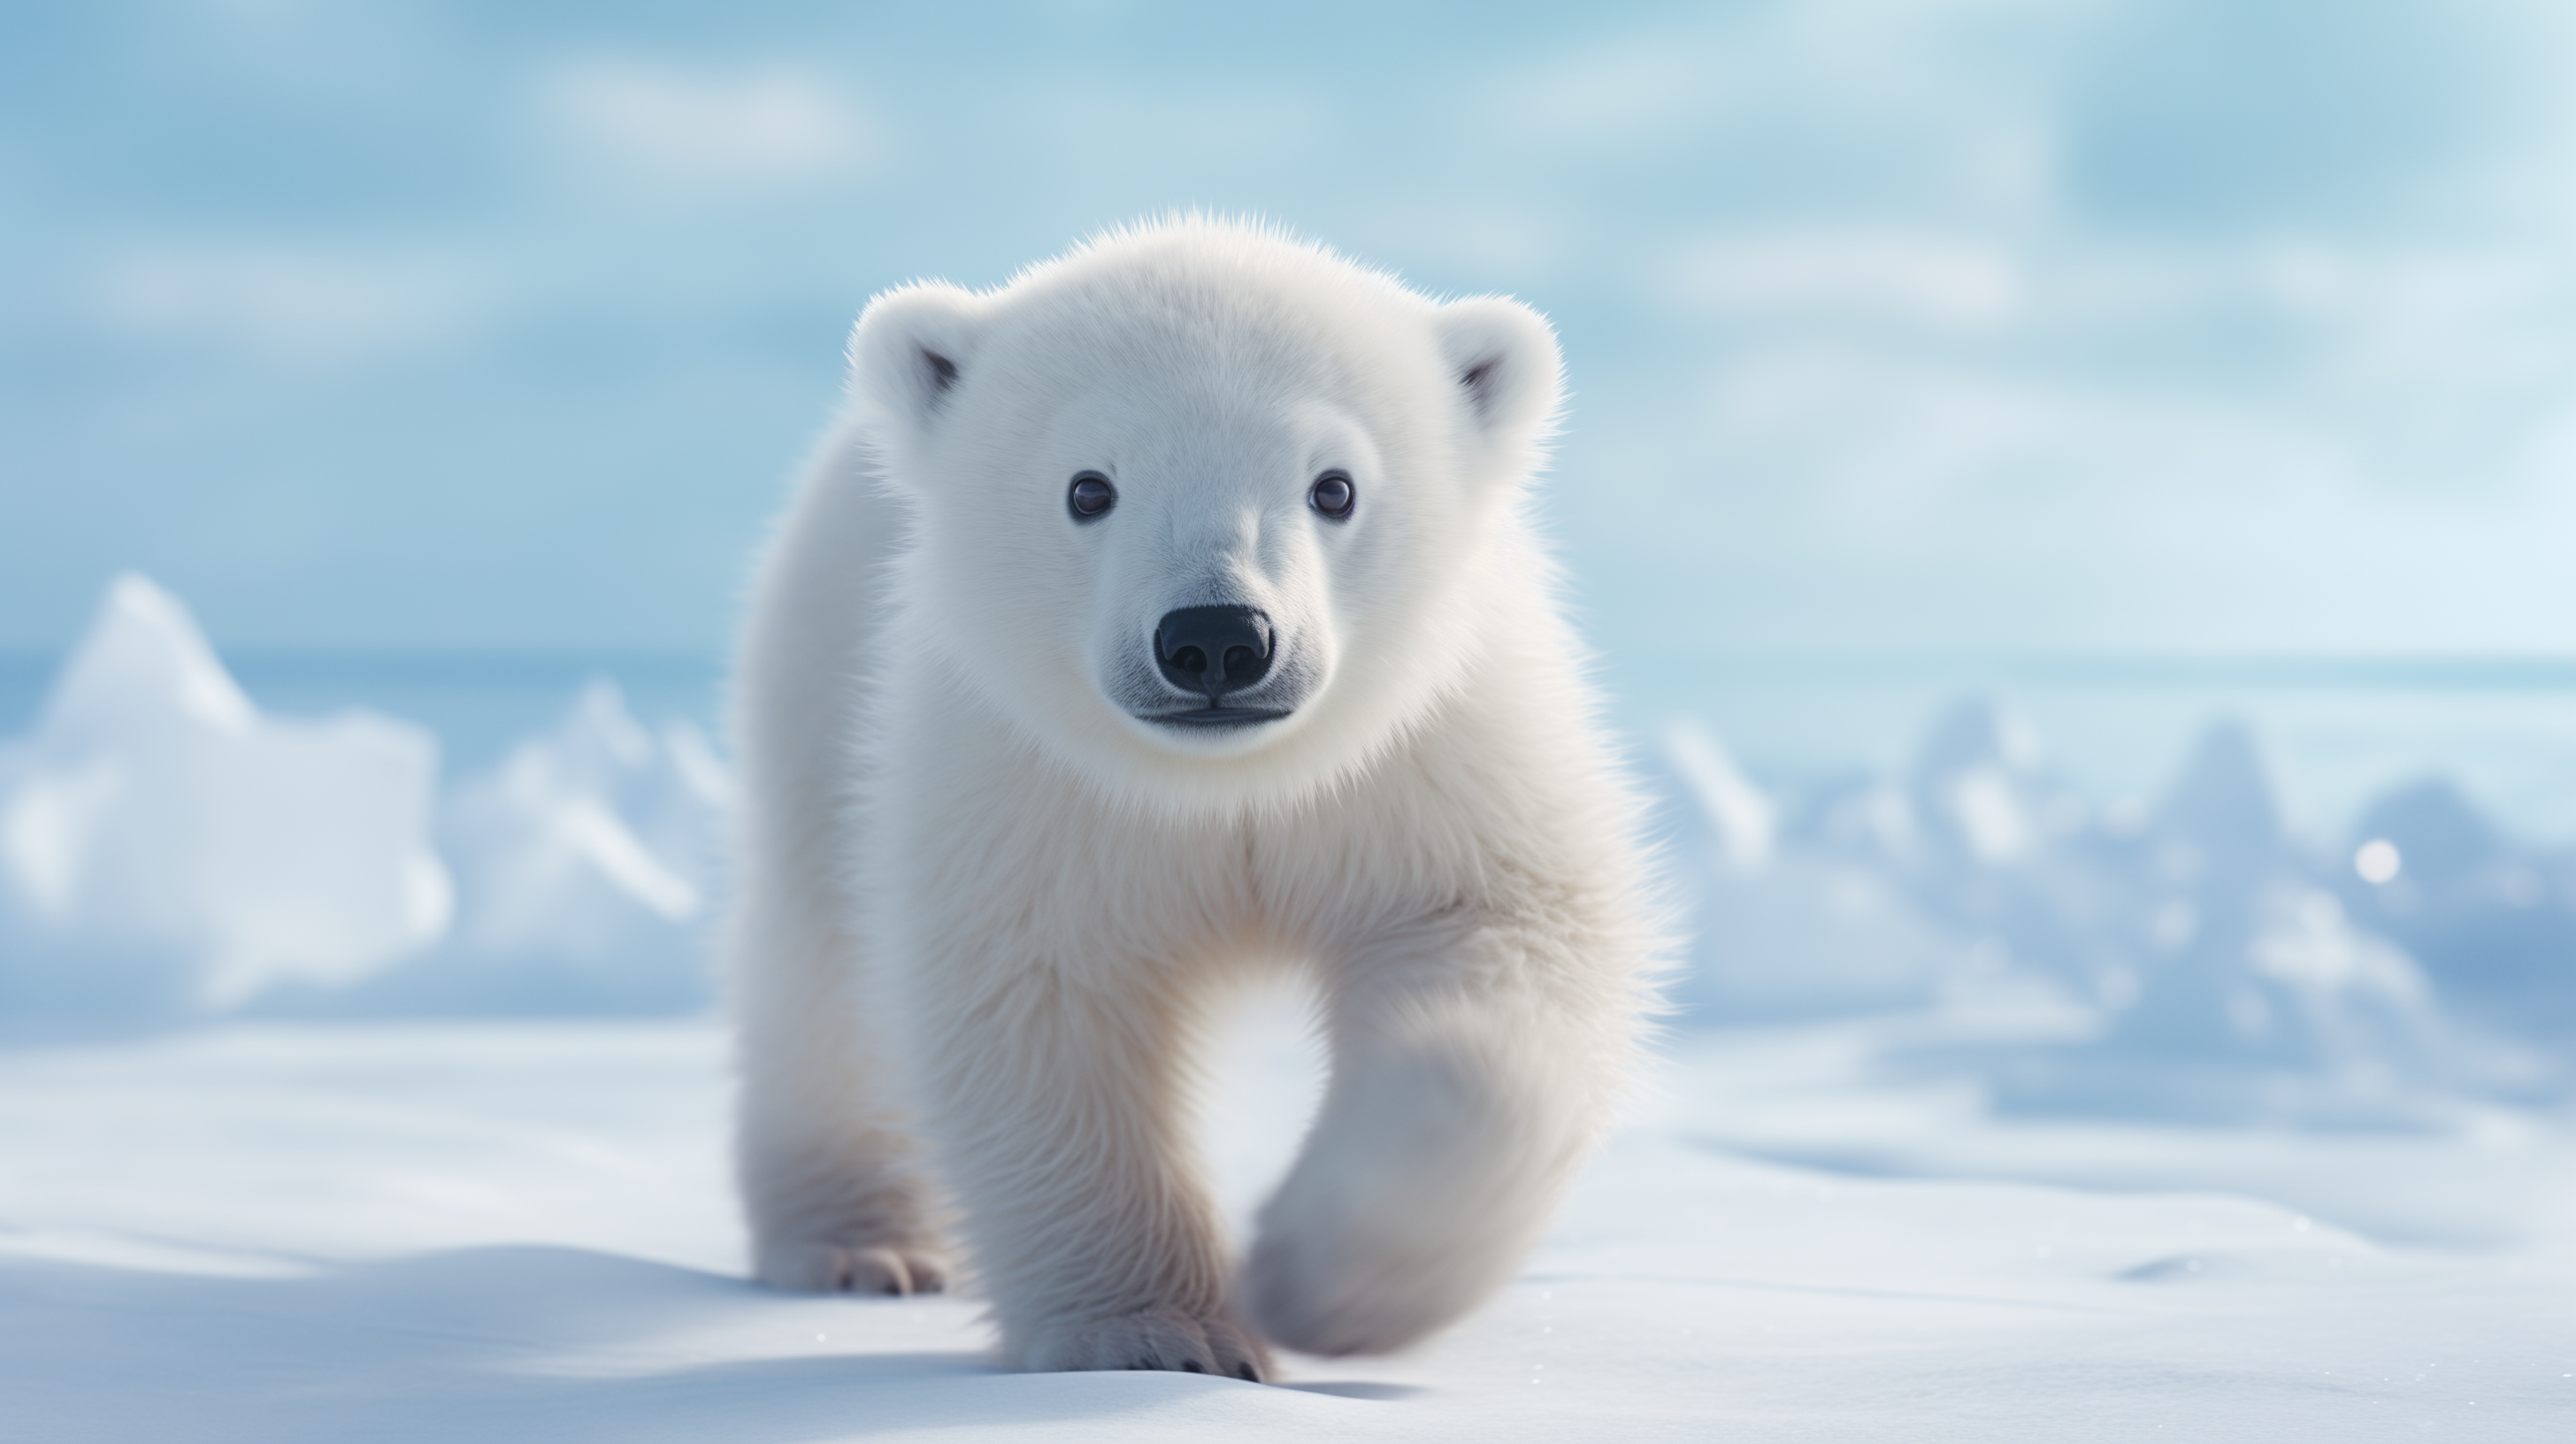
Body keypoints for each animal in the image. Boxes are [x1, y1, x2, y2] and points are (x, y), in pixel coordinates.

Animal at [725, 217, 1660, 1381]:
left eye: (1334, 486)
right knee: (821, 980)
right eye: (1088, 487)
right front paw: (1155, 1336)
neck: (1227, 790)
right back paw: (861, 1244)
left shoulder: (1431, 767)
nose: (1216, 638)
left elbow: (1496, 949)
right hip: (817, 695)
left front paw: (1320, 1280)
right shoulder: (1028, 794)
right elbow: (1042, 1012)